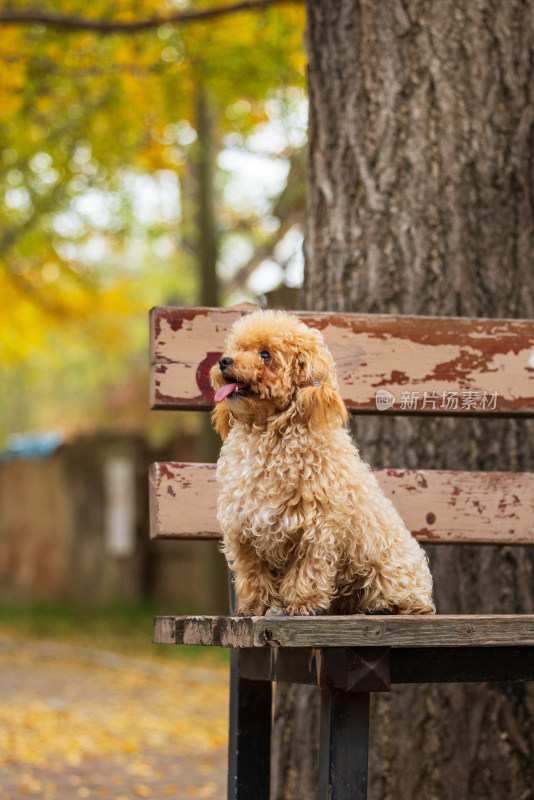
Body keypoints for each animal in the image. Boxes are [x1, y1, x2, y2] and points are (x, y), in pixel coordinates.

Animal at [209, 310, 436, 616]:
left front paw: (301, 604)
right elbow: (253, 574)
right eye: (237, 348)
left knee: (412, 603)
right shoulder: (244, 528)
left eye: (266, 354)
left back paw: (383, 607)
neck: (270, 436)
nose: (224, 361)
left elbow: (307, 569)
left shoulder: (315, 526)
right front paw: (254, 607)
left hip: (391, 568)